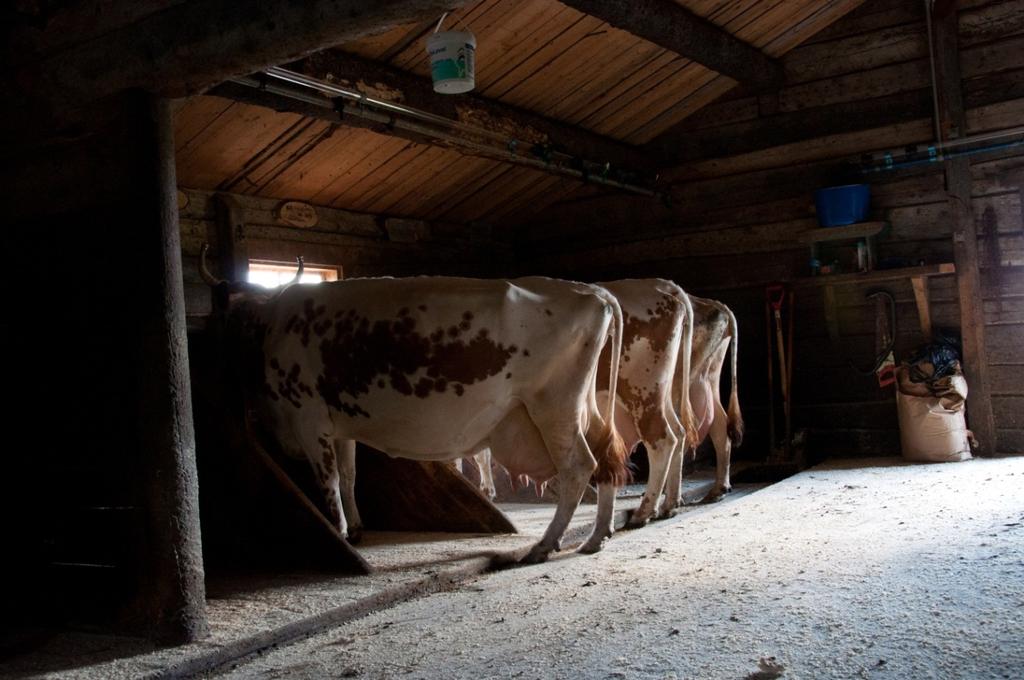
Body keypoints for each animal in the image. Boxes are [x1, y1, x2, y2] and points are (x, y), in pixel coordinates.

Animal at [201, 255, 622, 561]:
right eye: (228, 314)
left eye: (240, 317)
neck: (270, 328)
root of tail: (590, 290)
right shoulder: (340, 428)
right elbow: (349, 475)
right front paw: (356, 528)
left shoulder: (309, 418)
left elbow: (329, 480)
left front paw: (339, 531)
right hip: (582, 409)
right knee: (606, 457)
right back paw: (596, 537)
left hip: (553, 409)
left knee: (579, 466)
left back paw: (545, 544)